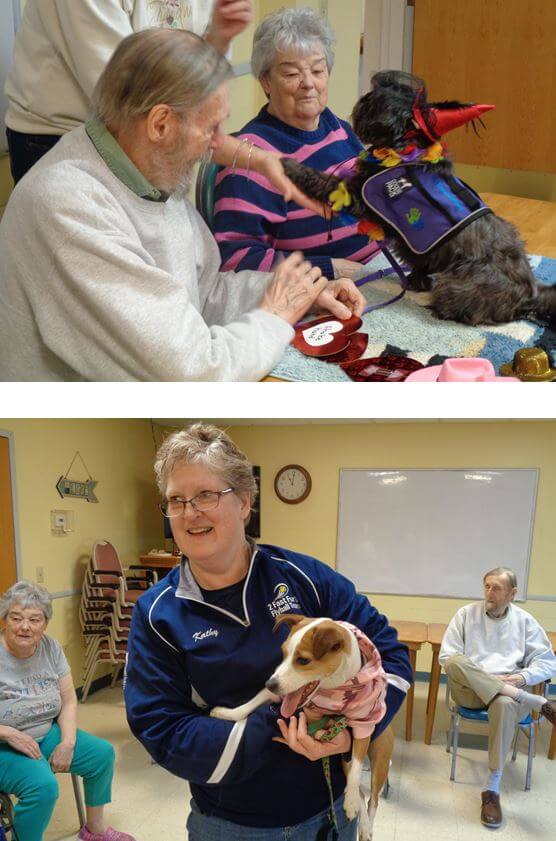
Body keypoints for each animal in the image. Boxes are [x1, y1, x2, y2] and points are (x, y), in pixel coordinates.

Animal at [210, 612, 396, 840]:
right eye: (283, 653)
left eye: (303, 660)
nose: (270, 684)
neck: (334, 688)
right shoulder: (280, 694)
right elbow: (251, 703)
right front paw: (228, 713)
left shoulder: (364, 725)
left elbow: (357, 768)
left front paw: (350, 800)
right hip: (345, 758)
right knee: (363, 793)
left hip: (379, 758)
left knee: (373, 799)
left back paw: (366, 825)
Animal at [282, 71, 556, 324]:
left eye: (374, 102)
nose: (363, 98)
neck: (404, 149)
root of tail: (533, 292)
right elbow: (419, 265)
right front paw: (416, 281)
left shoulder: (356, 195)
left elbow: (323, 180)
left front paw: (289, 165)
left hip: (462, 284)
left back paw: (441, 310)